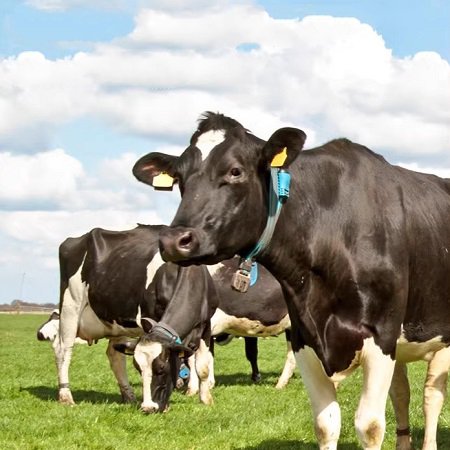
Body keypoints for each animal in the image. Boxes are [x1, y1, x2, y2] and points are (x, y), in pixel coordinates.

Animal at [133, 110, 450, 450]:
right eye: (179, 177)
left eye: (235, 171)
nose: (174, 240)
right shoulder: (304, 337)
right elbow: (326, 425)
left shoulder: (381, 336)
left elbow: (370, 426)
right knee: (402, 393)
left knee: (432, 396)